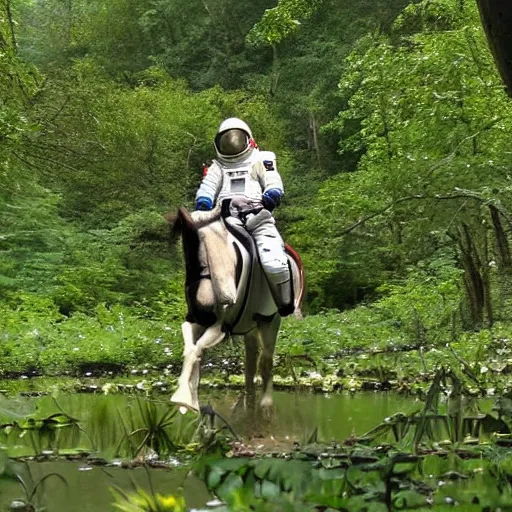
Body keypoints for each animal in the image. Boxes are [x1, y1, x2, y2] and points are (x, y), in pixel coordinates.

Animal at [168, 199, 304, 412]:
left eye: (205, 252)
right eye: (187, 258)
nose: (202, 306)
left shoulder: (220, 326)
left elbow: (197, 349)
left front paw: (184, 399)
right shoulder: (196, 322)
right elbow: (190, 350)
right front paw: (187, 397)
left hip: (271, 320)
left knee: (265, 362)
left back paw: (265, 405)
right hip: (250, 326)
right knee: (250, 366)